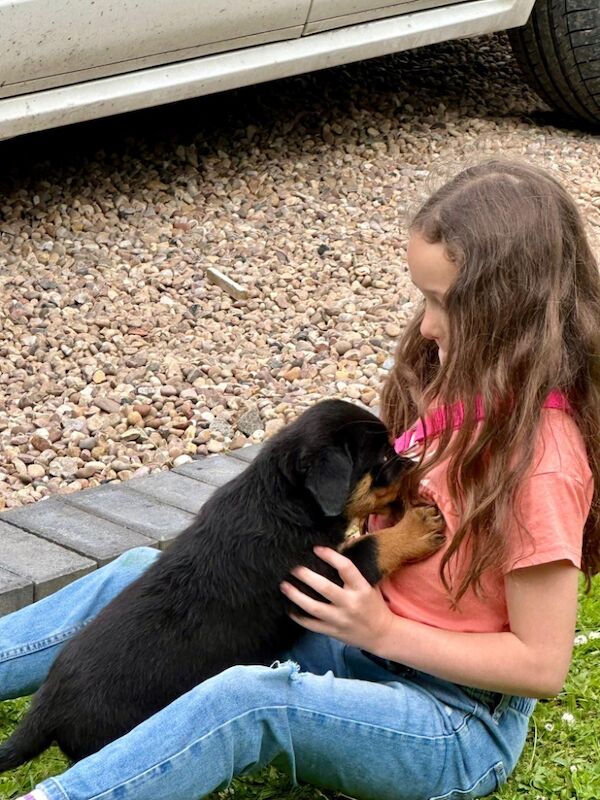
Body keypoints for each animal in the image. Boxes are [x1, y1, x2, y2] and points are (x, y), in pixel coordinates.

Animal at [0, 400, 440, 768]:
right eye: (384, 458)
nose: (413, 464)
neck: (285, 502)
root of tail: (47, 705)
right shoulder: (317, 585)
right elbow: (370, 547)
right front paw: (416, 528)